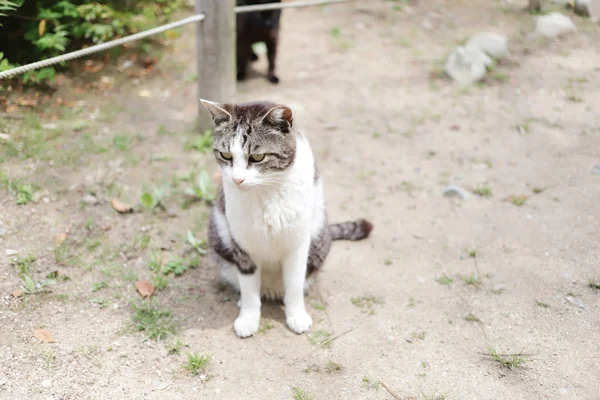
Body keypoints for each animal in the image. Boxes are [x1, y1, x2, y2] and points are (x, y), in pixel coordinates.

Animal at [200, 100, 370, 338]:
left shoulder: (297, 243)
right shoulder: (242, 243)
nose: (237, 179)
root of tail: (271, 289)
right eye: (225, 155)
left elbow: (294, 285)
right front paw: (248, 319)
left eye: (257, 157)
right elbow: (249, 288)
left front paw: (296, 316)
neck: (266, 192)